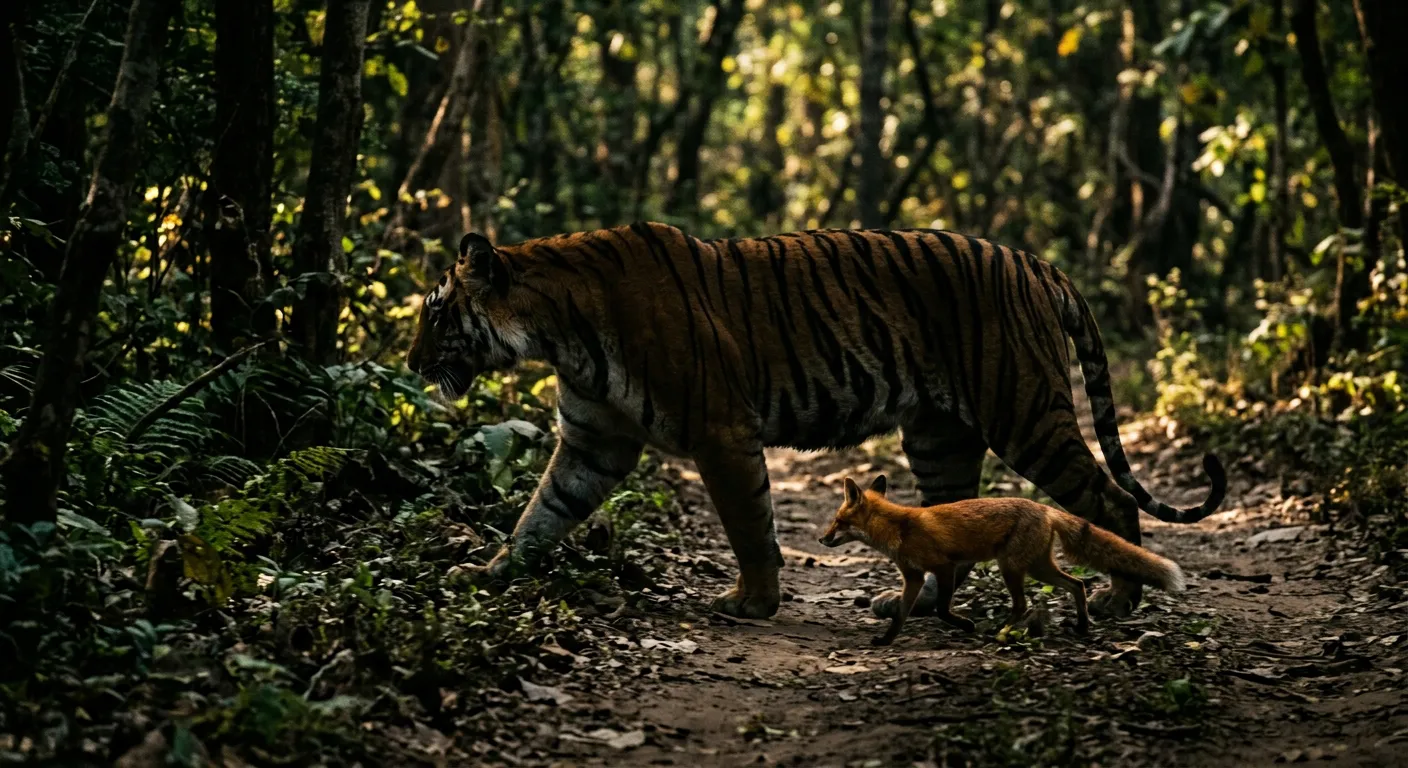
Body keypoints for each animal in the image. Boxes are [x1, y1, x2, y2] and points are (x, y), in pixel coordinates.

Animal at [407, 222, 1225, 620]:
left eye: (438, 315)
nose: (410, 364)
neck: (556, 328)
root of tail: (1038, 263)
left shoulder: (721, 430)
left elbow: (749, 525)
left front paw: (751, 604)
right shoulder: (594, 440)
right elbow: (540, 514)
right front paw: (488, 573)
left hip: (1024, 410)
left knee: (1110, 498)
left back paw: (1121, 601)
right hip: (941, 432)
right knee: (948, 522)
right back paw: (920, 606)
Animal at [818, 474, 1186, 646]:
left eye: (837, 521)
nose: (821, 539)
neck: (899, 527)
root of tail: (1044, 508)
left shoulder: (945, 567)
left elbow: (941, 609)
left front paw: (965, 625)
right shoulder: (913, 577)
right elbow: (901, 615)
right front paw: (886, 640)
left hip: (1011, 568)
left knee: (1024, 604)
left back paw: (1002, 631)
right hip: (1037, 567)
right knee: (1077, 584)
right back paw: (1081, 625)